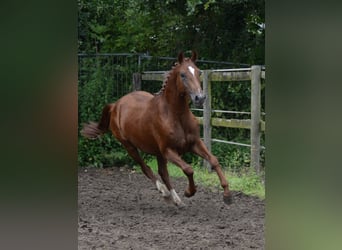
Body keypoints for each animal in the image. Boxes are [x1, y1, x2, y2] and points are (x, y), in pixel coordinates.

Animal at [81, 50, 232, 205]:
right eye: (182, 74)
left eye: (199, 72)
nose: (200, 98)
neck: (176, 115)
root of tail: (116, 105)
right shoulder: (168, 150)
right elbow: (188, 169)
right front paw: (189, 192)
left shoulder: (195, 143)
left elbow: (214, 161)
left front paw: (227, 195)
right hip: (129, 147)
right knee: (146, 168)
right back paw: (164, 192)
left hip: (156, 152)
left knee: (163, 172)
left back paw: (176, 199)